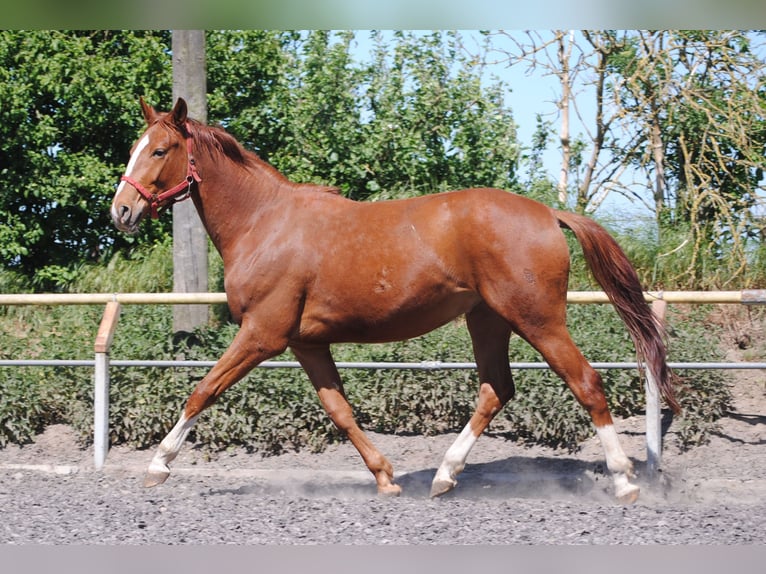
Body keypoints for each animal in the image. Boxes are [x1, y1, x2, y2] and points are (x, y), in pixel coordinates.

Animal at [112, 99, 680, 504]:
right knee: (496, 389)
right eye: (135, 146)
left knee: (585, 382)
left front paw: (158, 466)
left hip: (537, 320)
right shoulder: (305, 344)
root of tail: (548, 213)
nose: (121, 211)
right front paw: (385, 477)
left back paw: (625, 482)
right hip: (488, 320)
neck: (264, 223)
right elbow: (340, 410)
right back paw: (444, 476)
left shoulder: (261, 335)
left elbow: (202, 390)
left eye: (159, 150)